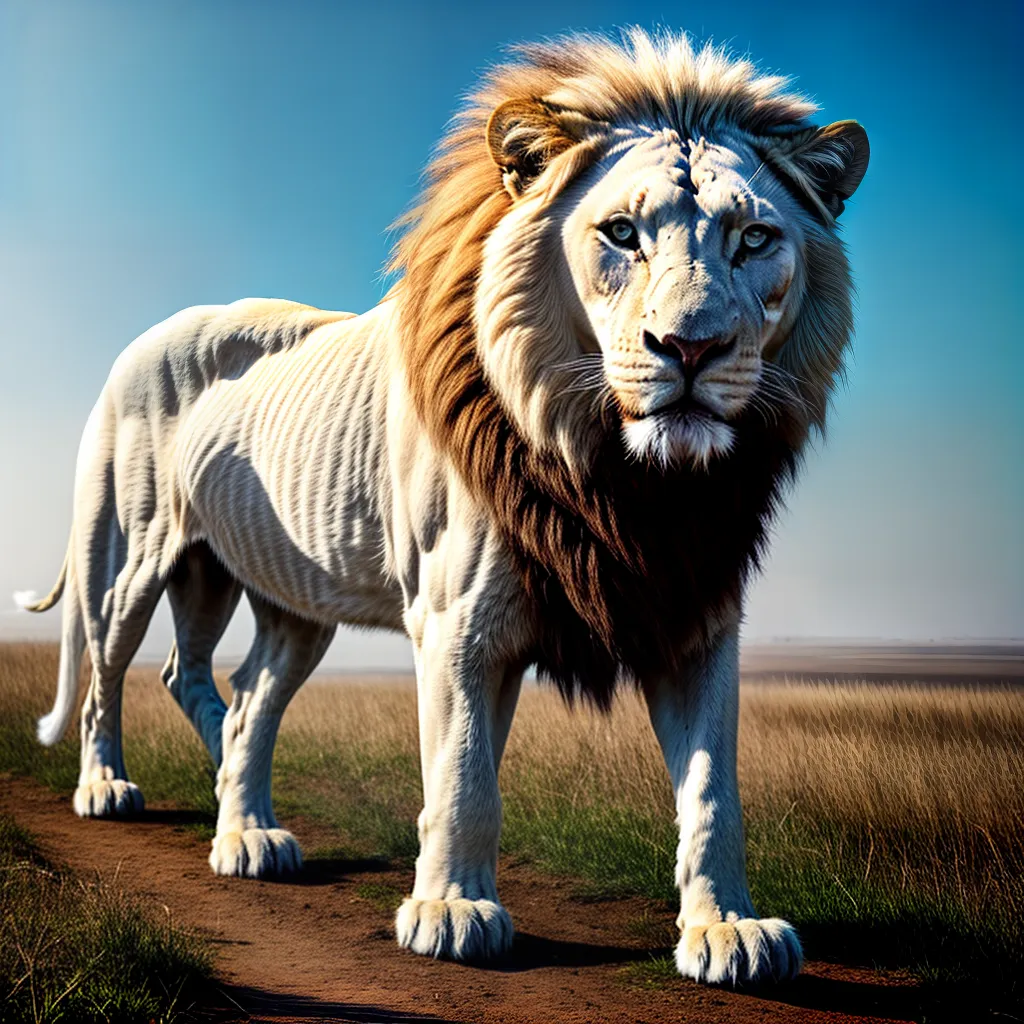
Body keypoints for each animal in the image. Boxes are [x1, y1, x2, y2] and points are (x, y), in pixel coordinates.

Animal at [19, 30, 867, 985]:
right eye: (621, 233)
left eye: (754, 238)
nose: (690, 347)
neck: (633, 484)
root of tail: (142, 337)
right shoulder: (457, 615)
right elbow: (465, 776)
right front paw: (451, 913)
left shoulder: (693, 612)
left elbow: (713, 790)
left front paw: (728, 929)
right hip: (135, 551)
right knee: (109, 670)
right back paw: (106, 789)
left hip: (276, 593)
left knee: (234, 694)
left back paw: (245, 831)